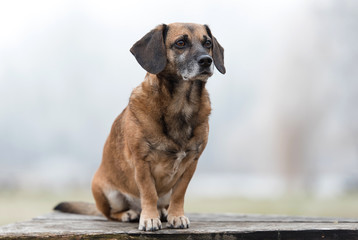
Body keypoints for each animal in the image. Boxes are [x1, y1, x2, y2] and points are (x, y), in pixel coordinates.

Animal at [54, 22, 225, 231]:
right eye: (181, 43)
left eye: (207, 43)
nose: (207, 61)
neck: (180, 104)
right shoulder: (142, 162)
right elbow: (149, 193)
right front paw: (149, 219)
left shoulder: (191, 163)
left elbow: (179, 194)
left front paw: (176, 215)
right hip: (108, 193)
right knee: (111, 214)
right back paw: (129, 213)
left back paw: (164, 211)